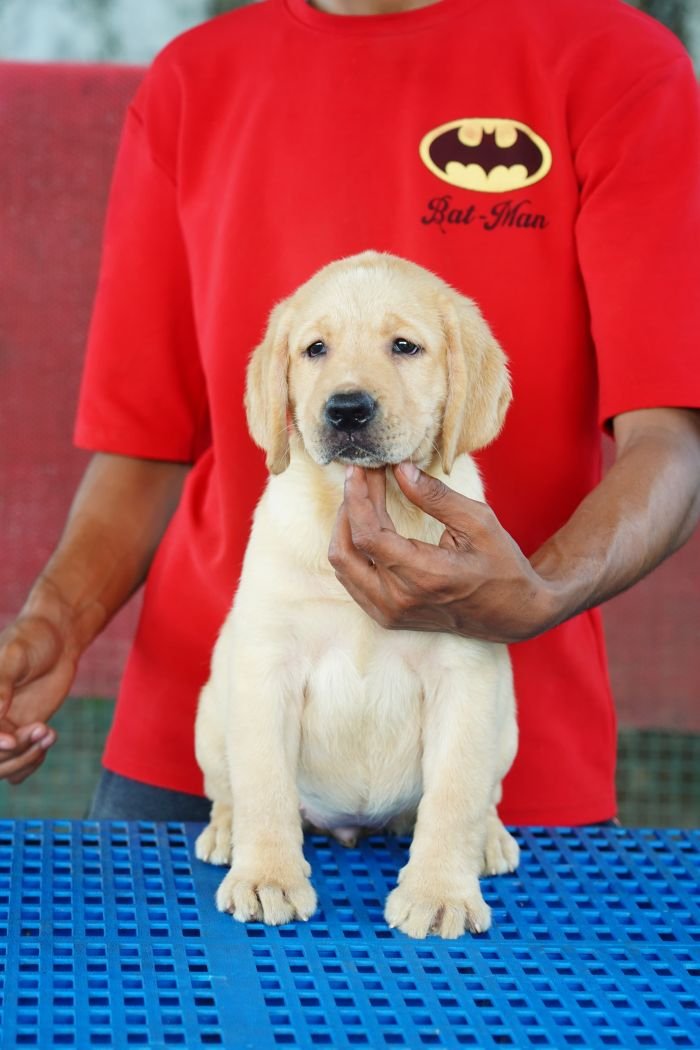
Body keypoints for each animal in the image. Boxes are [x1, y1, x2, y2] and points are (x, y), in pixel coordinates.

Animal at [194, 249, 518, 940]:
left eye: (405, 346)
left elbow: (454, 795)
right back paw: (228, 833)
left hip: (505, 725)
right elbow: (264, 785)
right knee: (230, 786)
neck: (378, 500)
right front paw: (266, 878)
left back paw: (489, 840)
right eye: (315, 349)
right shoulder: (267, 667)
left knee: (481, 796)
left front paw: (440, 891)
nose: (345, 410)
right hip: (213, 708)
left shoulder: (465, 675)